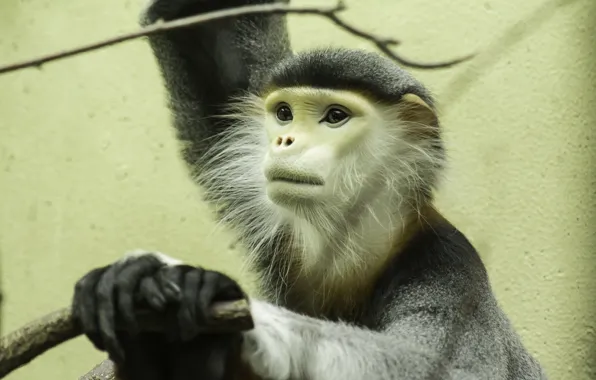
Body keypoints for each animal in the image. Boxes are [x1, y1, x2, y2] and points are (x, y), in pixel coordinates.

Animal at [67, 0, 548, 378]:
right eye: (284, 113)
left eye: (335, 116)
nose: (285, 141)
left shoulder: (448, 265)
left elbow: (452, 371)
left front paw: (206, 310)